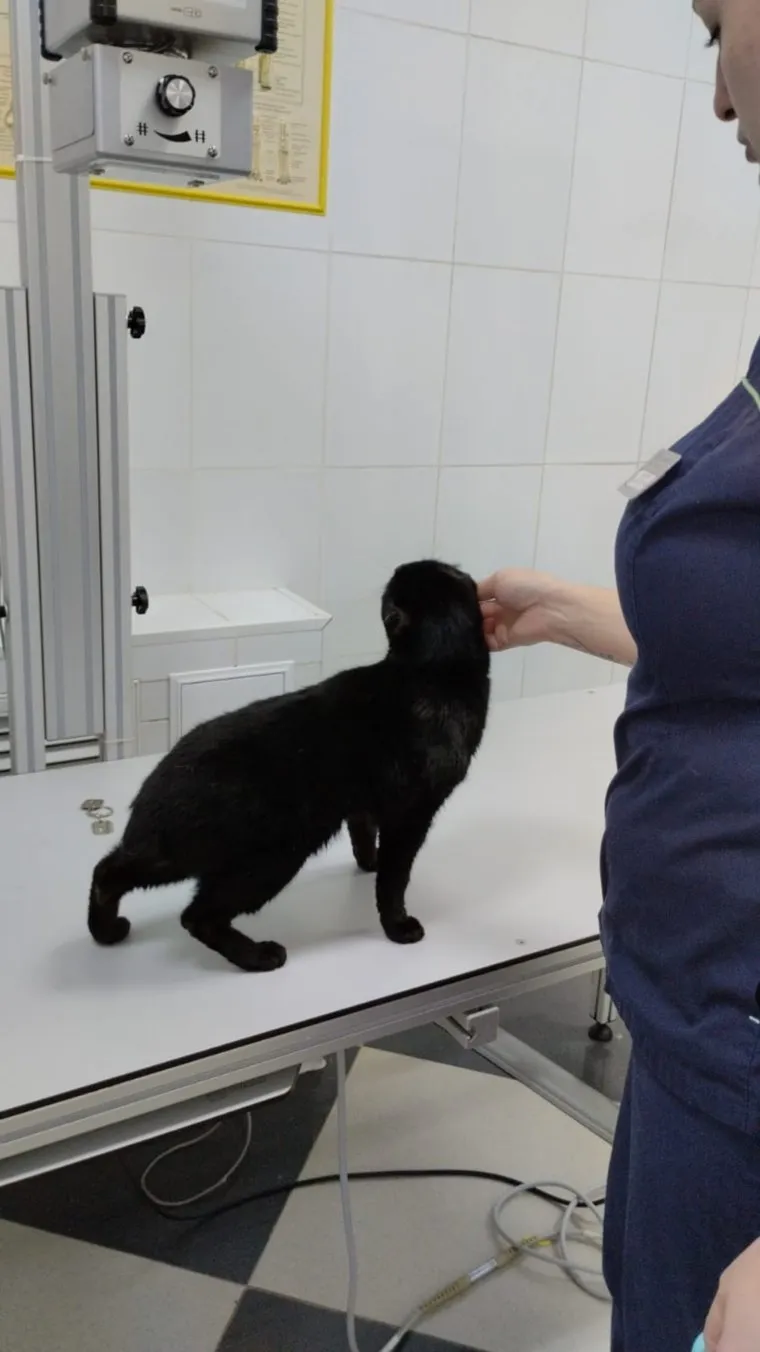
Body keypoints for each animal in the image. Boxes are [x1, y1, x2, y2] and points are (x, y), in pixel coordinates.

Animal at [87, 559, 491, 972]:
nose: (396, 568)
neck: (432, 672)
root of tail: (153, 790)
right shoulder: (411, 814)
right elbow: (395, 880)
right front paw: (398, 926)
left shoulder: (363, 803)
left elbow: (364, 837)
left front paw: (369, 864)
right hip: (276, 855)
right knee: (197, 915)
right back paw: (258, 955)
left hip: (177, 853)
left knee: (110, 869)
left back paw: (106, 930)